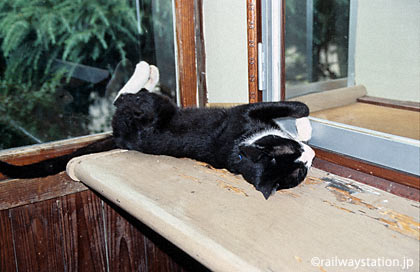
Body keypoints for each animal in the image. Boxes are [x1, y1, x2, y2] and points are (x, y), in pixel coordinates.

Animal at [0, 61, 314, 199]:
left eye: (301, 172)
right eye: (291, 153)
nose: (311, 157)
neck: (240, 151)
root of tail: (118, 137)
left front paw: (304, 131)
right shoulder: (246, 113)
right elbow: (298, 106)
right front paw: (305, 125)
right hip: (156, 106)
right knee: (123, 98)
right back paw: (146, 70)